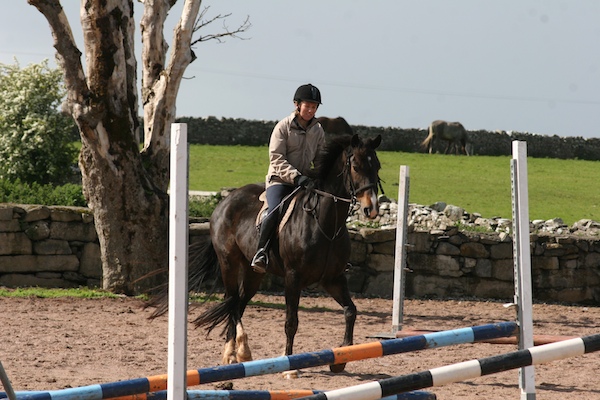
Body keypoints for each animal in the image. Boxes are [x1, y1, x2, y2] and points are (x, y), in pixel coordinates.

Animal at [146, 133, 380, 376]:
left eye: (377, 167)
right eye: (355, 166)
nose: (371, 209)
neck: (324, 224)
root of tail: (224, 203)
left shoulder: (333, 279)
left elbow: (350, 311)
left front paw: (341, 357)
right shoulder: (293, 278)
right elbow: (291, 321)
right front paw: (289, 365)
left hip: (253, 273)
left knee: (239, 302)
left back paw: (235, 352)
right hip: (229, 263)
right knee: (232, 301)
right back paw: (238, 350)